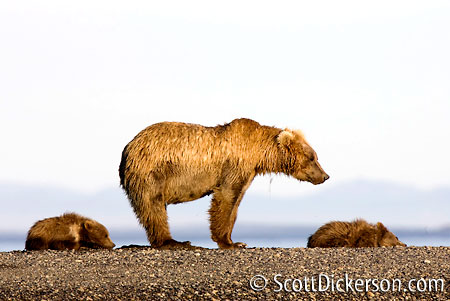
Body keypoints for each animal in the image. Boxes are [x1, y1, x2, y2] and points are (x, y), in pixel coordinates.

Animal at [119, 117, 328, 248]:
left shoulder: (248, 172)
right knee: (153, 206)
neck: (259, 153)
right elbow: (226, 198)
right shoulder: (234, 165)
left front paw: (235, 241)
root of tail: (128, 147)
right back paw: (174, 242)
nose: (325, 176)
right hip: (152, 171)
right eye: (312, 157)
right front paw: (228, 243)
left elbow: (236, 202)